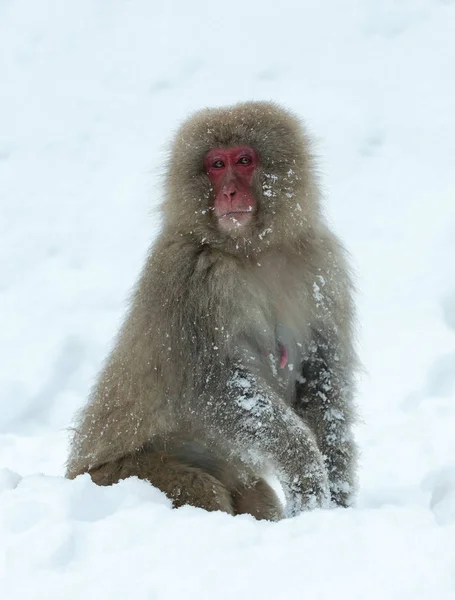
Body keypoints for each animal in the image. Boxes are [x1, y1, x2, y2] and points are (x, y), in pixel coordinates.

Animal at [67, 101, 360, 516]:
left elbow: (323, 379)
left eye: (244, 159)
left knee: (255, 492)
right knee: (202, 489)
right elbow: (216, 384)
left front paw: (335, 496)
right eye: (217, 165)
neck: (253, 252)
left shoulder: (323, 267)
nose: (230, 192)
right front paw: (305, 472)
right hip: (118, 474)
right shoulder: (190, 277)